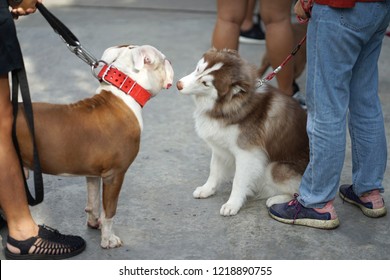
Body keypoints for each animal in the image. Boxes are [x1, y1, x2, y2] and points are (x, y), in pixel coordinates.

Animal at [176, 48, 308, 215]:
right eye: (198, 69)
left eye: (205, 83)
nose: (178, 85)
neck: (227, 106)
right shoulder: (219, 146)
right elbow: (214, 170)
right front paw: (207, 189)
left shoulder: (247, 154)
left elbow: (238, 181)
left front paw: (232, 204)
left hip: (275, 168)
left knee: (297, 192)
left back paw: (278, 200)